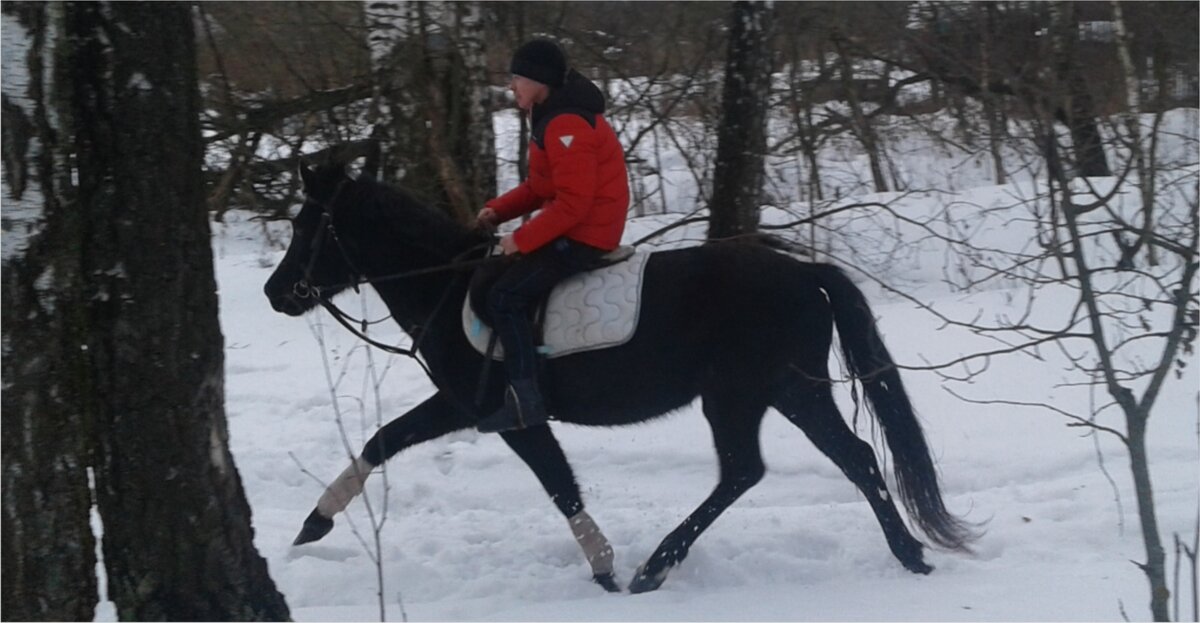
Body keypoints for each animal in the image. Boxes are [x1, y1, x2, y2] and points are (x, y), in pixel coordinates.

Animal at [262, 162, 974, 595]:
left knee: (746, 470)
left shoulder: (503, 412)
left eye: (307, 225)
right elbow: (383, 439)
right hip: (790, 391)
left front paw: (603, 567)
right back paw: (911, 555)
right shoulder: (461, 405)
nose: (275, 293)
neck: (448, 285)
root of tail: (806, 273)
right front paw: (313, 525)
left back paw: (654, 567)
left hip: (741, 394)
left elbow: (558, 484)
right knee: (854, 458)